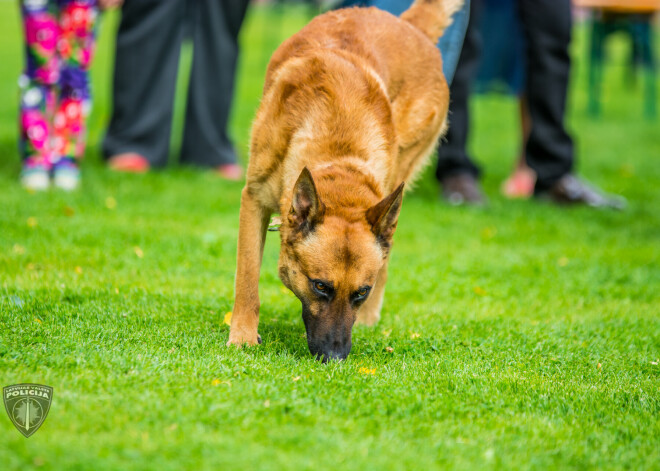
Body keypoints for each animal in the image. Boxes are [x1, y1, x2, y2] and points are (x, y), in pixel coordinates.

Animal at [229, 0, 462, 362]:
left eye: (360, 292)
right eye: (320, 286)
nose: (335, 357)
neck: (339, 153)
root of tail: (410, 26)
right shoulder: (253, 199)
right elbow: (247, 278)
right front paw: (242, 336)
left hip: (399, 176)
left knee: (387, 255)